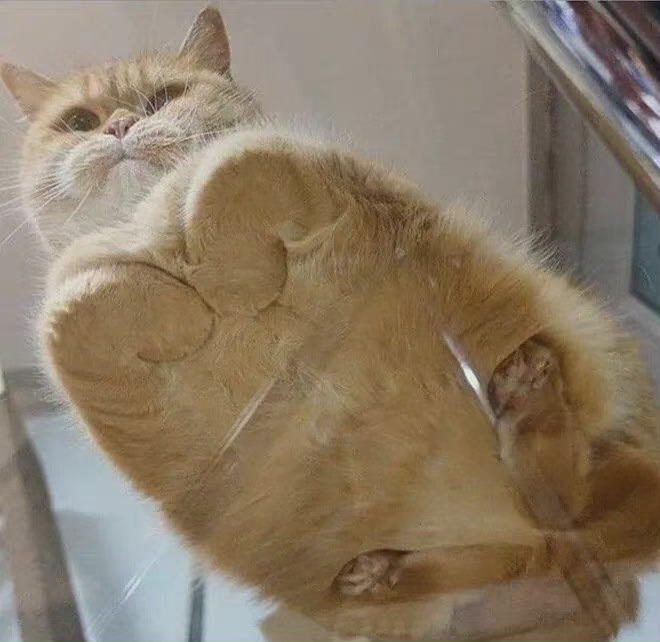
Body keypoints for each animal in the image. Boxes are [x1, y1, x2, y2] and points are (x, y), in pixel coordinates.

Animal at [2, 6, 659, 640]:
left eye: (163, 98)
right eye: (79, 121)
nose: (117, 127)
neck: (150, 224)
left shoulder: (315, 166)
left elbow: (230, 168)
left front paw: (230, 280)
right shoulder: (79, 340)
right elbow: (83, 301)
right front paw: (188, 307)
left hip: (586, 377)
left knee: (568, 486)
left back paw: (526, 396)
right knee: (533, 534)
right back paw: (381, 569)